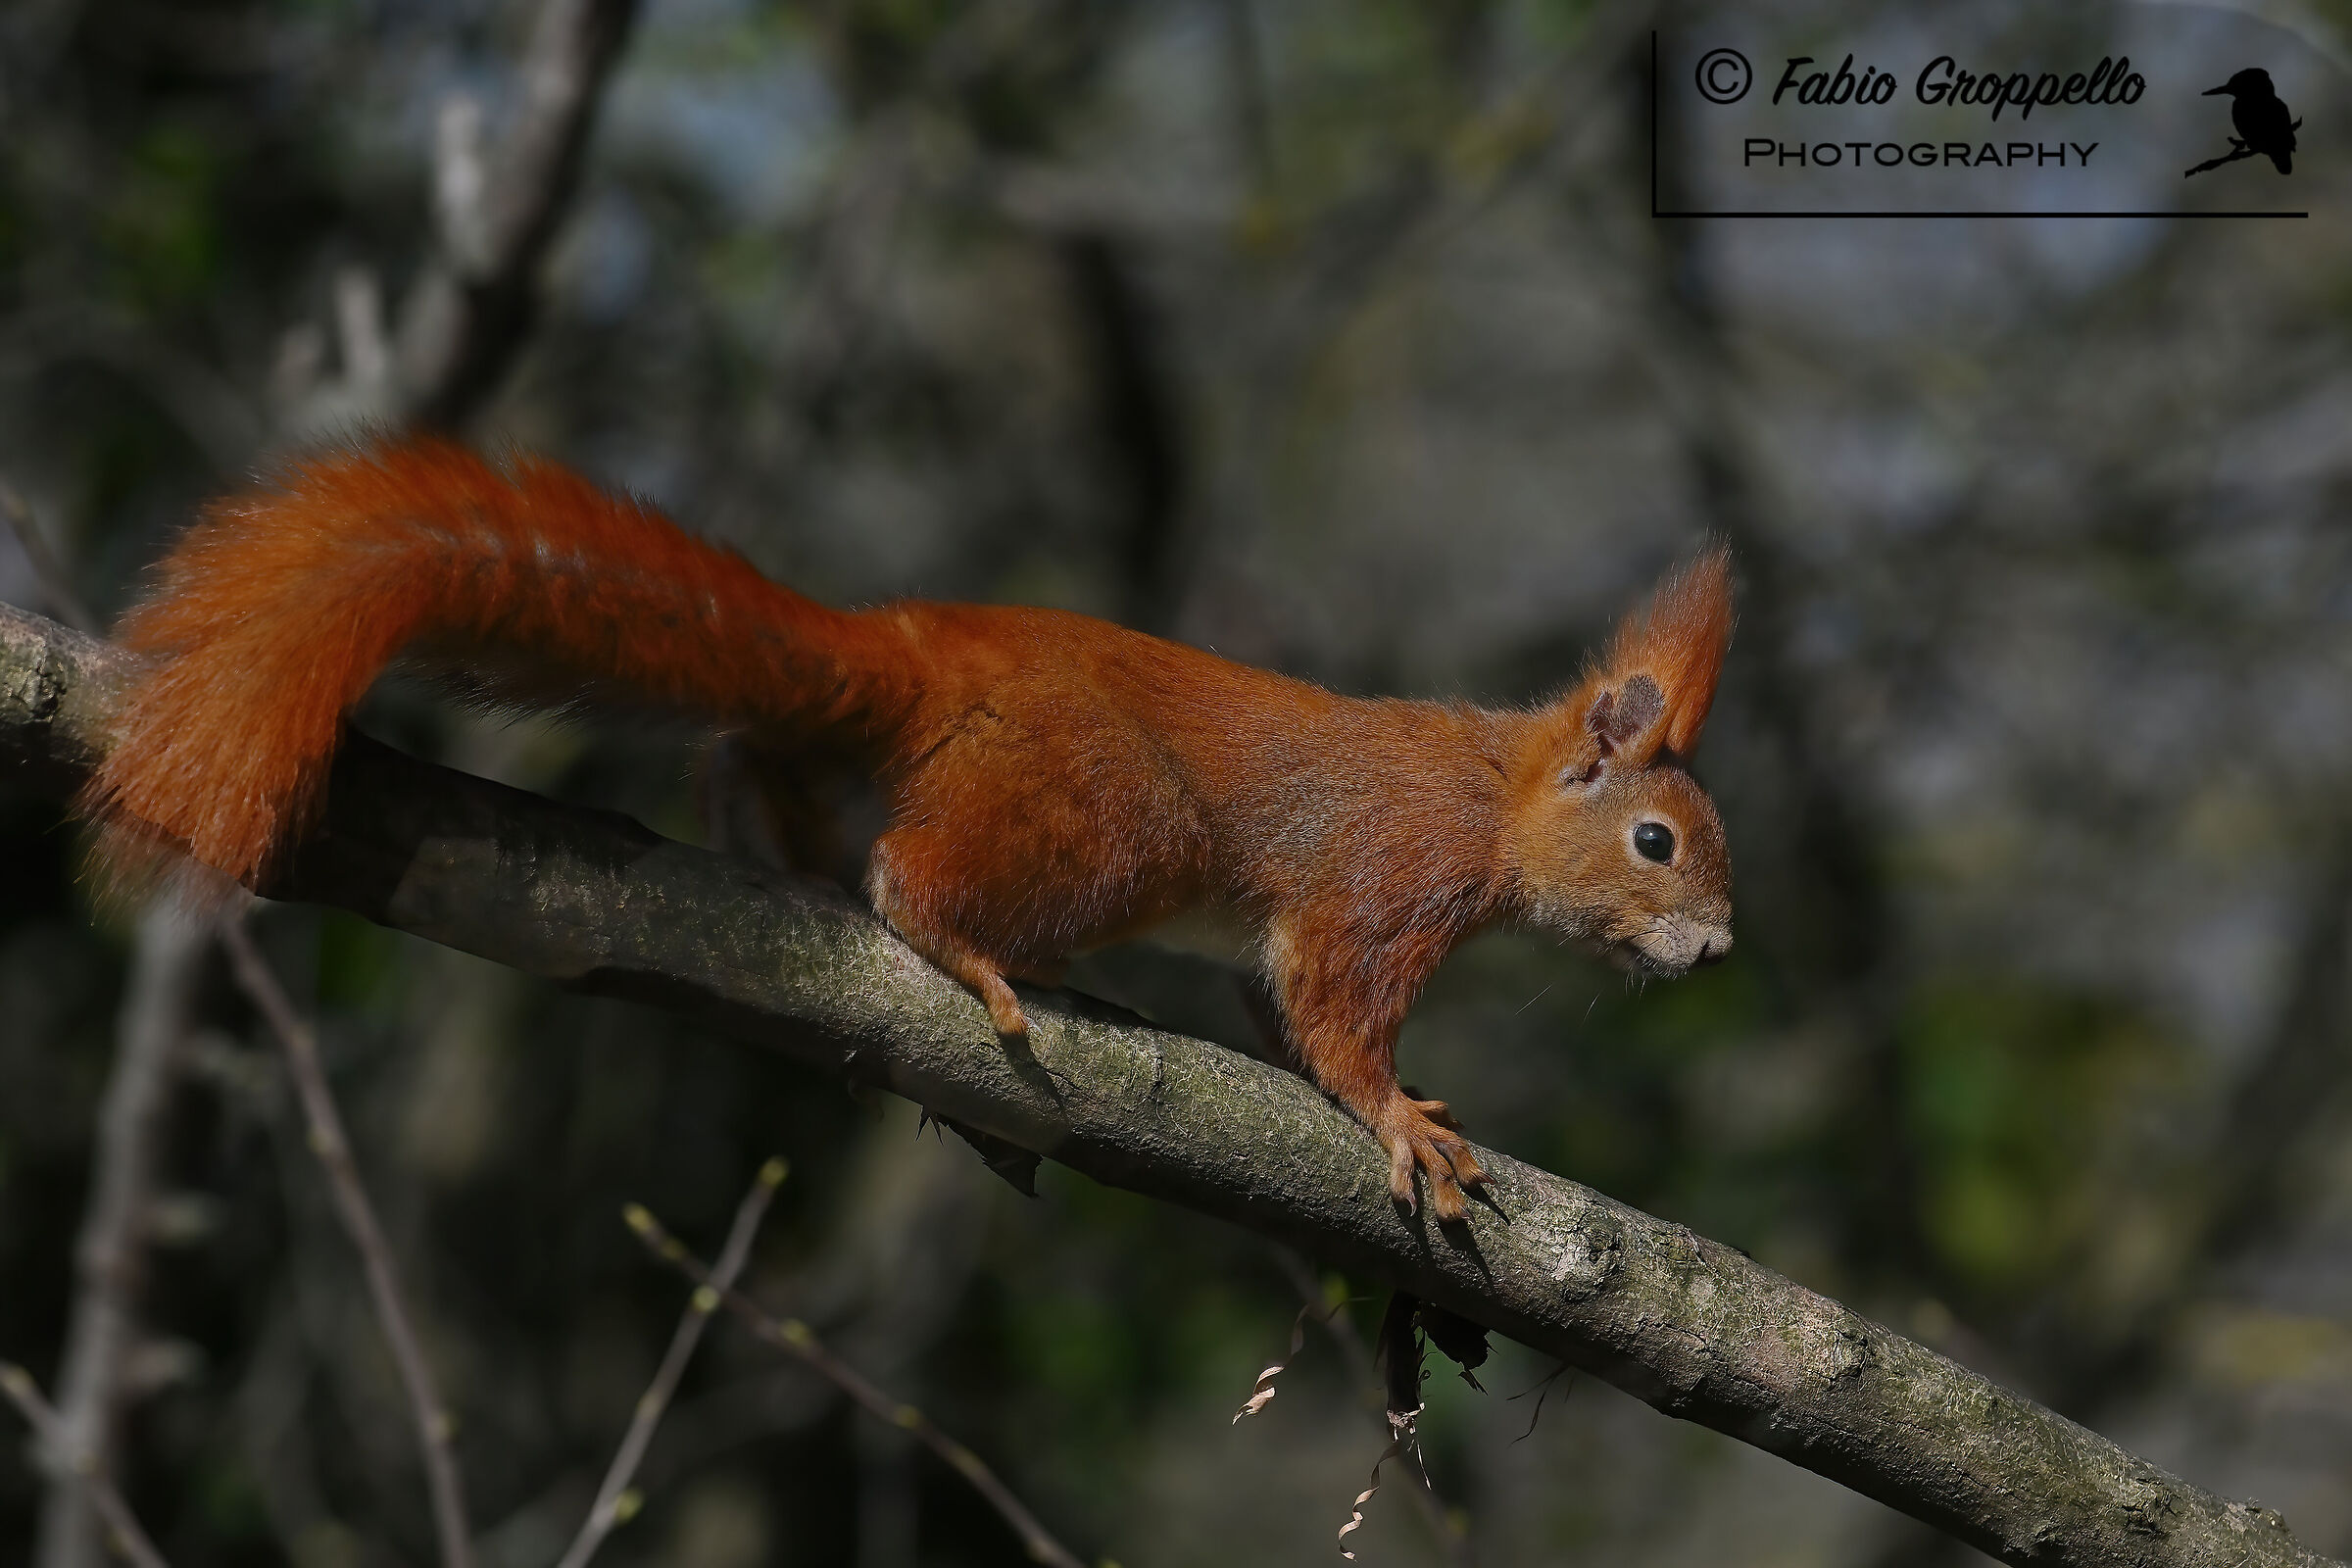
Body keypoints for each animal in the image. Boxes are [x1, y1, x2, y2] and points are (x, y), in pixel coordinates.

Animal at [80, 439, 1736, 1221]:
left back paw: (776, 839)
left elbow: (1276, 1006)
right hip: (1110, 824)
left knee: (769, 773)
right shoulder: (1387, 882)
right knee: (910, 879)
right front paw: (1402, 1119)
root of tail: (921, 653)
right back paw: (970, 951)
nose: (1719, 953)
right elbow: (1334, 1013)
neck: (1493, 796)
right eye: (1656, 844)